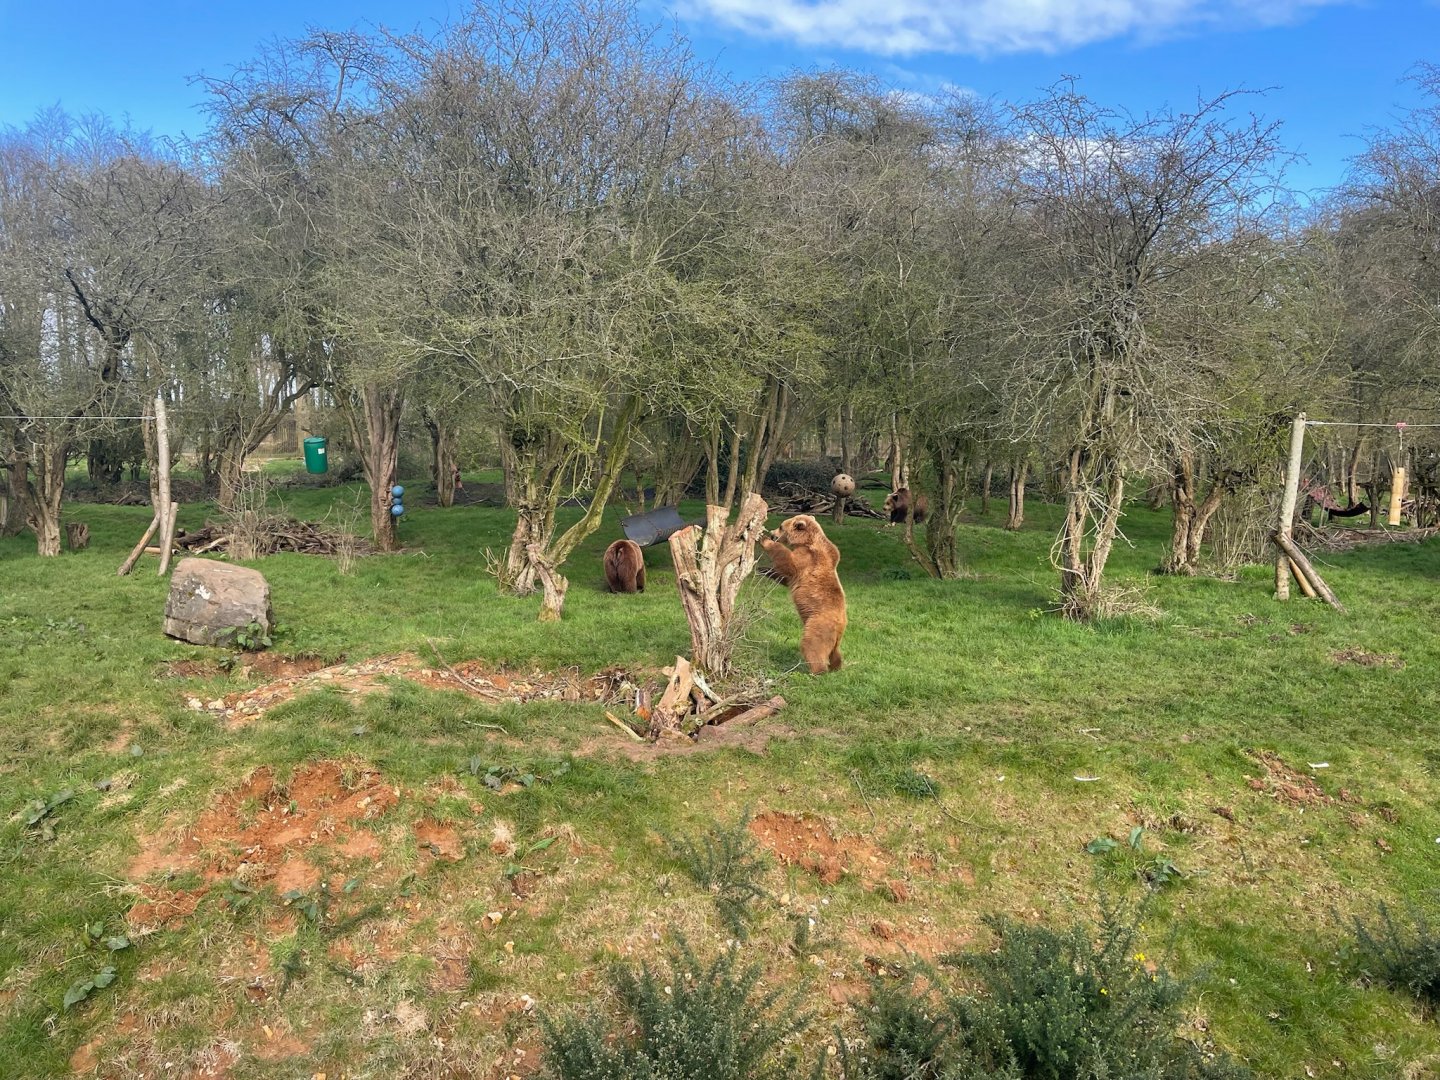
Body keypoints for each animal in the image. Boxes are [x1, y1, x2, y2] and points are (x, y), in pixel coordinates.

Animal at [759, 514, 846, 674]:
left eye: (781, 526)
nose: (772, 533)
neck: (805, 541)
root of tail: (841, 625)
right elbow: (786, 577)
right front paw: (764, 569)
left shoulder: (807, 559)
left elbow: (788, 563)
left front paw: (764, 539)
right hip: (834, 637)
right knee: (836, 652)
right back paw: (836, 666)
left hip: (818, 623)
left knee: (812, 644)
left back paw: (817, 670)